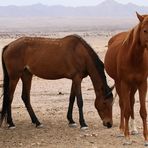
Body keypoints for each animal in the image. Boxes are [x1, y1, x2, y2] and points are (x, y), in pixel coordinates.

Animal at [104, 11, 147, 146]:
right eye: (145, 30)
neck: (134, 58)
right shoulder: (124, 83)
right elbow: (126, 109)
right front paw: (127, 138)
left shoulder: (142, 83)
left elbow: (143, 111)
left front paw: (146, 139)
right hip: (119, 83)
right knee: (123, 104)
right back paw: (121, 130)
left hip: (133, 86)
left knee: (131, 101)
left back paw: (133, 129)